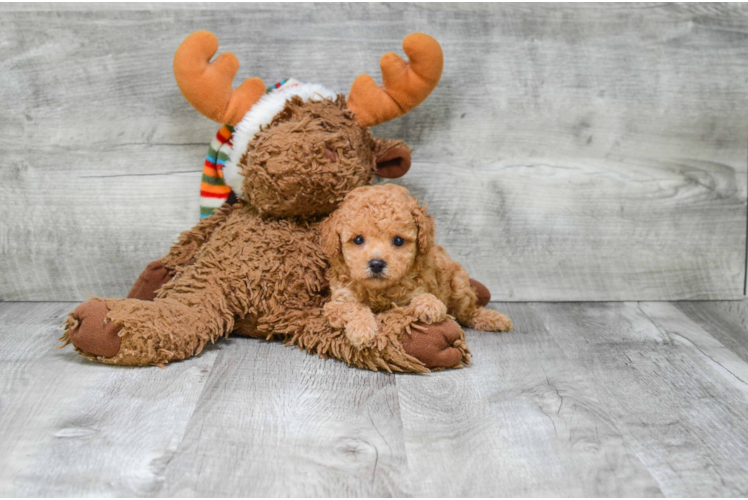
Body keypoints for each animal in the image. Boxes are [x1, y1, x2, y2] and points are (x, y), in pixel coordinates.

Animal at [318, 182, 512, 350]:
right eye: (358, 239)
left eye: (398, 241)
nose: (377, 264)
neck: (379, 291)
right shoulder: (338, 302)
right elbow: (355, 307)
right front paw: (362, 330)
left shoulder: (416, 289)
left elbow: (421, 297)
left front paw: (430, 305)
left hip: (459, 286)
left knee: (468, 312)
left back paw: (495, 319)